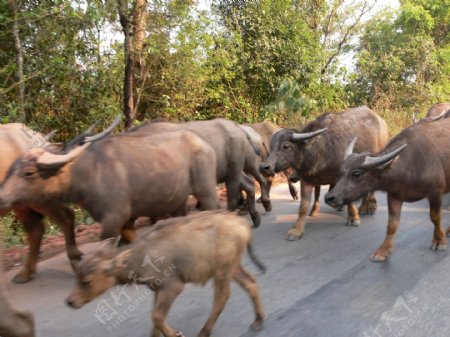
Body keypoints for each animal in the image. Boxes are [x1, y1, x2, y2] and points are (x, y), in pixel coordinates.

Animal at [0, 129, 219, 242]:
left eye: (28, 173)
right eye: (13, 168)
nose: (2, 197)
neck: (87, 172)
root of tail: (203, 142)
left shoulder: (115, 217)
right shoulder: (125, 219)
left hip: (205, 190)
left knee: (213, 208)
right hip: (177, 201)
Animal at [65, 211, 266, 336]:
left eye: (86, 280)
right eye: (77, 275)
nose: (70, 301)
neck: (139, 259)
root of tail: (243, 224)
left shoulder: (173, 286)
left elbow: (156, 317)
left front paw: (176, 334)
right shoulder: (157, 289)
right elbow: (155, 320)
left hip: (223, 270)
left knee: (221, 298)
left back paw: (204, 332)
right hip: (232, 267)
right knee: (251, 282)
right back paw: (258, 321)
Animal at [260, 105, 390, 239]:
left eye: (286, 146)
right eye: (271, 147)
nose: (265, 167)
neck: (320, 151)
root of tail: (381, 121)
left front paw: (353, 218)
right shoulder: (306, 179)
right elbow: (303, 206)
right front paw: (297, 230)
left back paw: (368, 207)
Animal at [326, 117, 450, 262]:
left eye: (356, 174)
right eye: (341, 171)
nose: (329, 197)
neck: (409, 165)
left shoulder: (435, 193)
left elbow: (435, 218)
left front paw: (439, 241)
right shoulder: (394, 195)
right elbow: (392, 224)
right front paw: (383, 251)